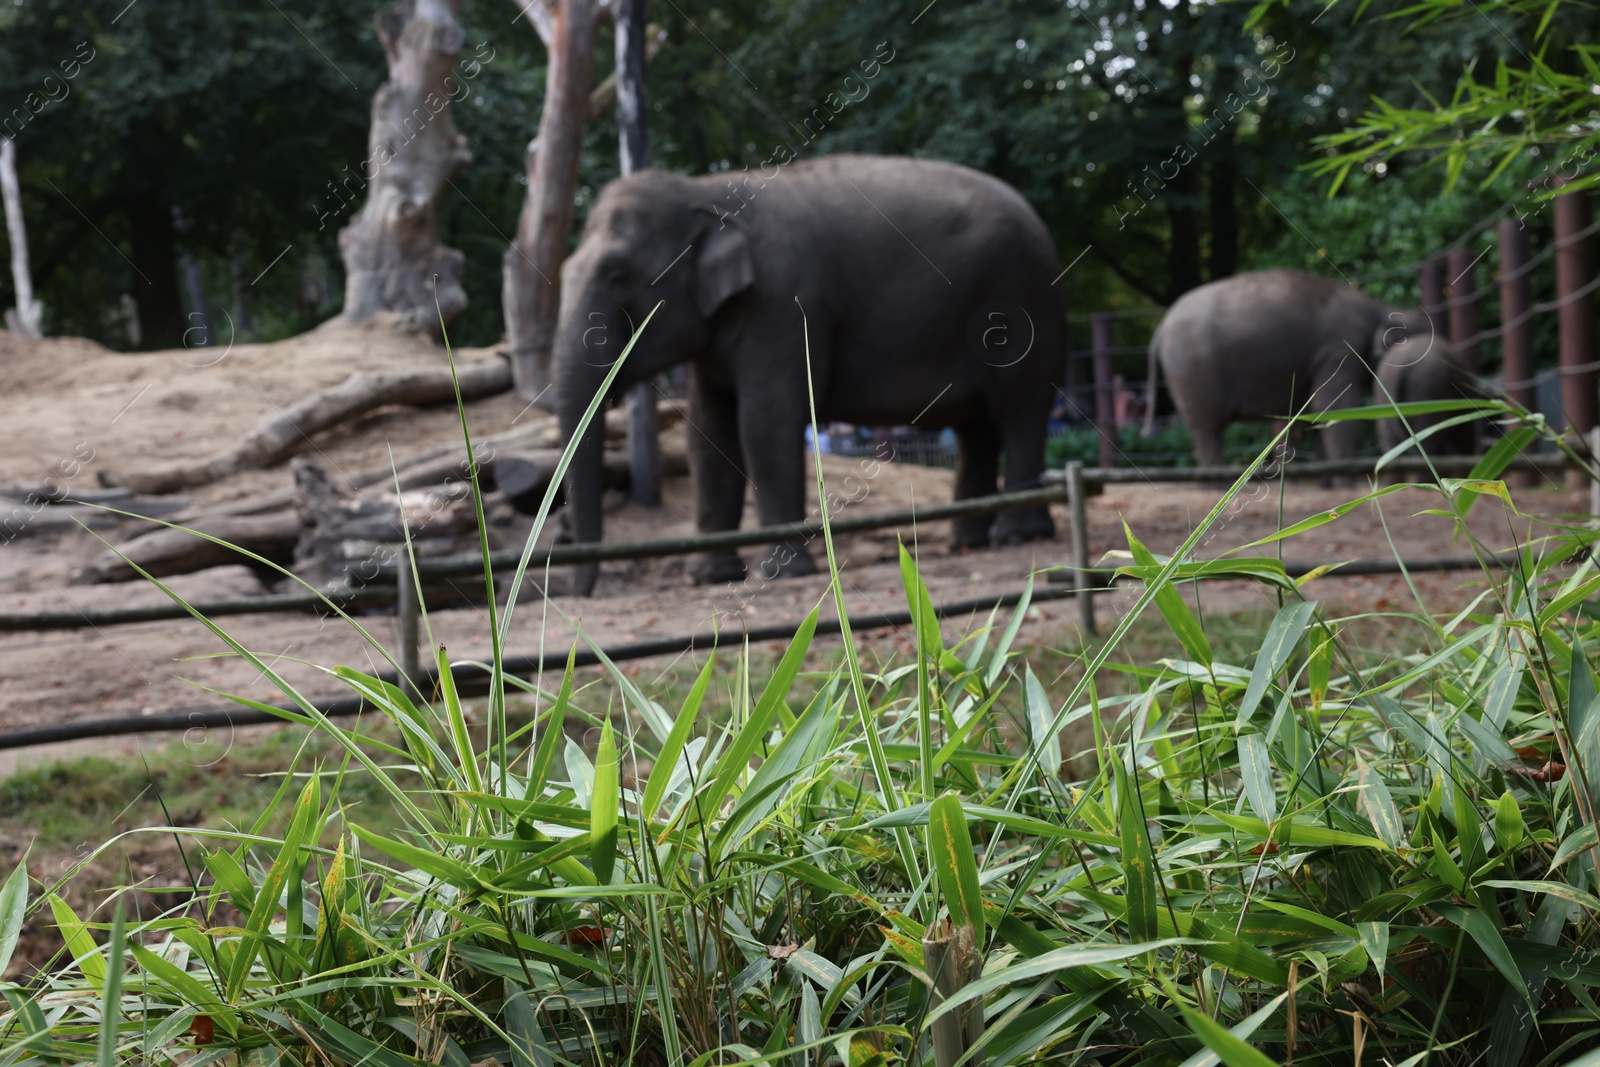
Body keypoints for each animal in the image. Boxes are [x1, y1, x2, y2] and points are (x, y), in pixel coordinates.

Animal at [550, 154, 1062, 598]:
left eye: (617, 274)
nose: (582, 592)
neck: (706, 190)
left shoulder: (783, 302)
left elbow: (765, 421)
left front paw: (779, 572)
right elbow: (709, 432)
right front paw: (708, 576)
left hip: (1019, 304)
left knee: (1019, 410)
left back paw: (1018, 536)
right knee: (977, 429)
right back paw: (968, 542)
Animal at [1152, 268, 1472, 463]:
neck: (1380, 307)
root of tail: (1160, 328)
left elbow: (1317, 411)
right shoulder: (1339, 349)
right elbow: (1335, 405)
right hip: (1192, 370)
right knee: (1206, 428)